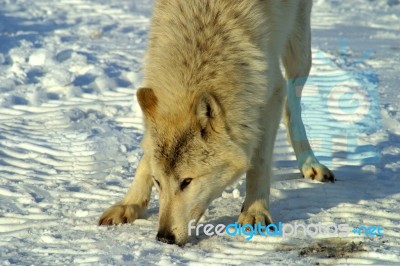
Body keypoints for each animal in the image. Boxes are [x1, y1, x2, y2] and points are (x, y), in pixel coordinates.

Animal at [98, 0, 332, 245]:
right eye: (158, 182)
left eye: (187, 181)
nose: (164, 237)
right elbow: (146, 158)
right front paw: (129, 204)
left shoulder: (269, 92)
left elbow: (259, 163)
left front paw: (255, 212)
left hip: (299, 49)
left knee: (292, 104)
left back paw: (310, 163)